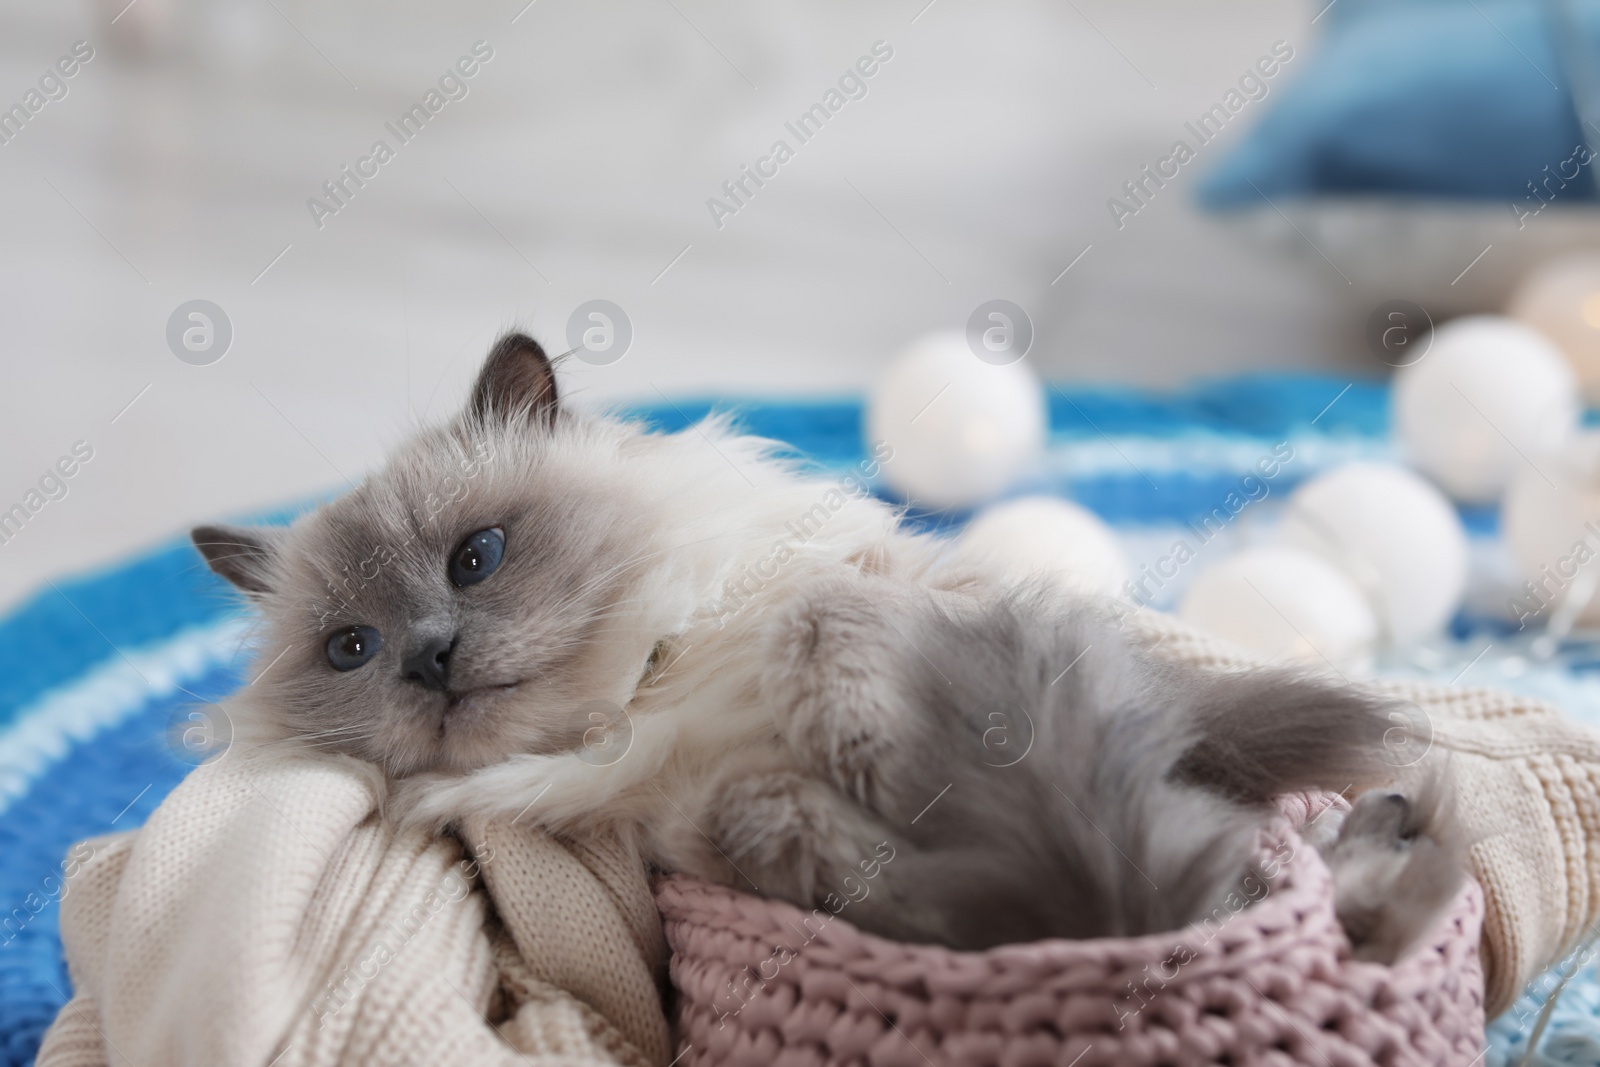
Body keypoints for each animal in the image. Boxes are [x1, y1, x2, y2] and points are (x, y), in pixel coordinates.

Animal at [193, 331, 1465, 959]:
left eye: (476, 556)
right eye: (352, 649)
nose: (430, 658)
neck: (645, 695)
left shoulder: (884, 612)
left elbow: (821, 633)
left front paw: (880, 771)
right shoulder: (696, 829)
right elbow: (825, 847)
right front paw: (882, 840)